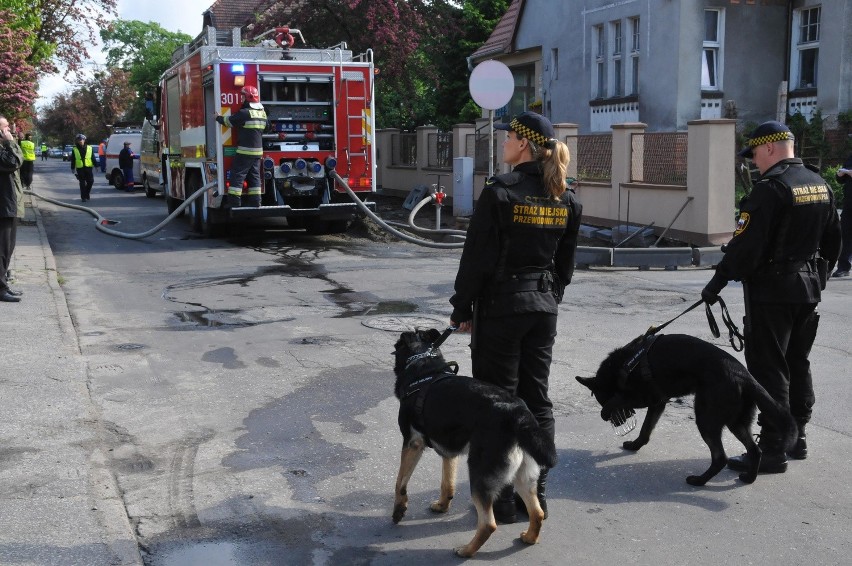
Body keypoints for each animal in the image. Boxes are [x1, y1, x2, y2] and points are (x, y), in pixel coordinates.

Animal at [394, 330, 560, 556]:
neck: (422, 364)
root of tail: (517, 412)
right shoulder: (449, 451)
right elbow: (447, 483)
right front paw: (442, 506)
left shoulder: (412, 443)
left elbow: (400, 482)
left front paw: (398, 510)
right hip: (523, 476)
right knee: (538, 512)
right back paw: (529, 538)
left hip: (479, 474)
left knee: (489, 524)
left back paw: (467, 550)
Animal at [576, 336, 796, 486]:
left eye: (601, 399)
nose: (621, 422)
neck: (624, 363)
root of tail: (743, 375)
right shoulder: (658, 403)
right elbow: (646, 430)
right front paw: (635, 445)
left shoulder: (644, 398)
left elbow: (617, 399)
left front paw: (606, 411)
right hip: (736, 422)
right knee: (755, 450)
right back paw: (749, 478)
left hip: (706, 419)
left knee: (720, 457)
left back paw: (699, 481)